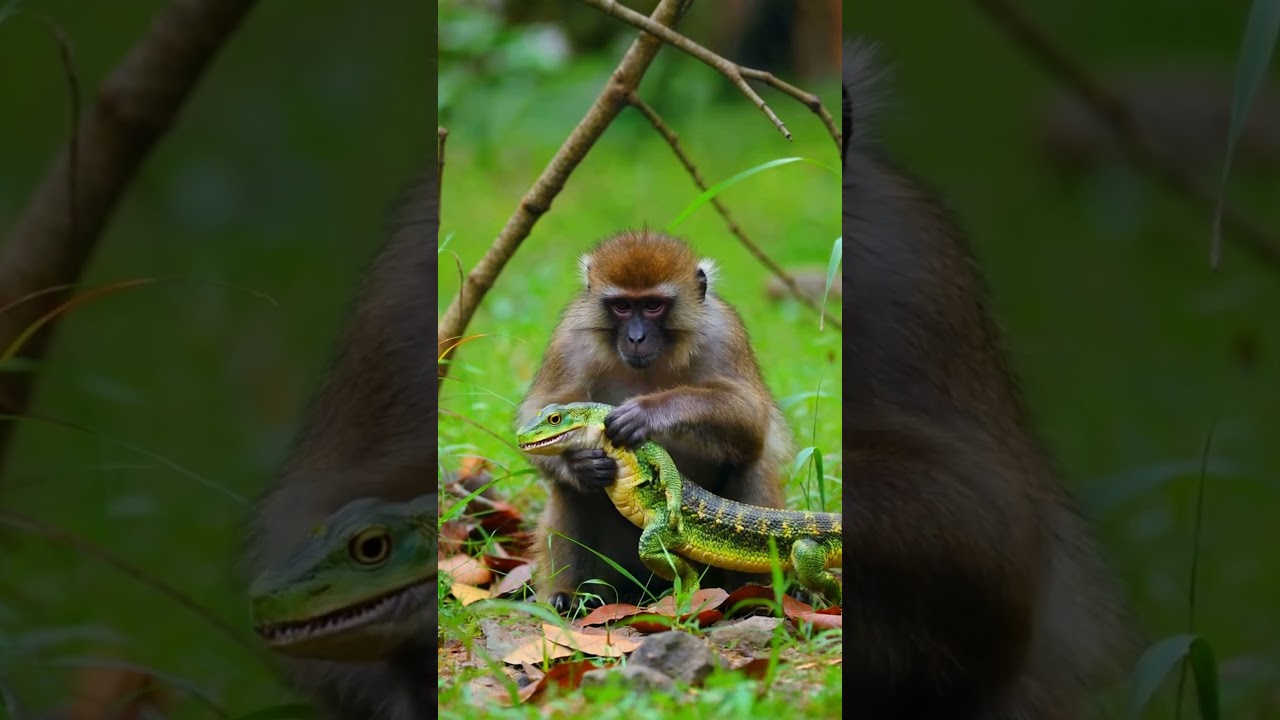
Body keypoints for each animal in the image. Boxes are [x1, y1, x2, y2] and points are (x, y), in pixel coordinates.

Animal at [516, 229, 795, 616]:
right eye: (621, 306)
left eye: (652, 306)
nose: (636, 337)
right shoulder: (570, 340)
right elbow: (537, 415)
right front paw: (580, 462)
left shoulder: (723, 333)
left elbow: (752, 418)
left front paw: (648, 412)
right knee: (569, 491)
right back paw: (568, 595)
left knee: (750, 463)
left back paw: (753, 596)